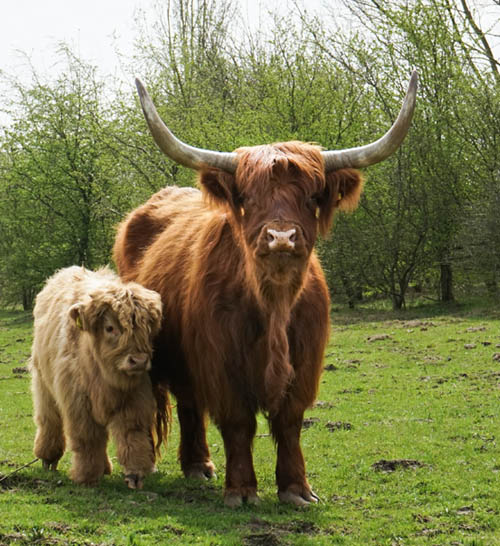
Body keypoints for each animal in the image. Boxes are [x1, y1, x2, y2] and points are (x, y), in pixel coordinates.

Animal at [30, 264, 164, 488]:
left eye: (146, 329)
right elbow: (87, 439)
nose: (138, 361)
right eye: (110, 328)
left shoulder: (134, 398)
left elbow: (132, 434)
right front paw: (87, 477)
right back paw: (48, 458)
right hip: (43, 383)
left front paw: (134, 474)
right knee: (49, 419)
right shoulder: (78, 403)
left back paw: (106, 467)